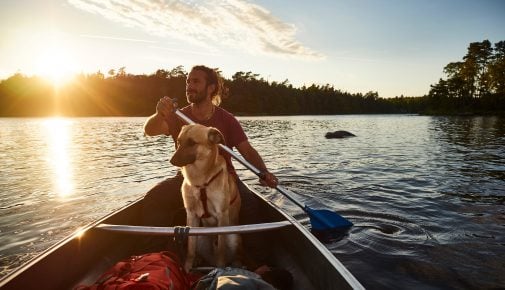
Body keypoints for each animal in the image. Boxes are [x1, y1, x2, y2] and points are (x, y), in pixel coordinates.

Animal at [168, 124, 241, 272]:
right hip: (200, 234)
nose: (171, 161)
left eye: (192, 142)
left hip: (234, 237)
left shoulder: (222, 215)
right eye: (178, 141)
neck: (201, 182)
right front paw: (187, 267)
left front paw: (221, 269)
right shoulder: (191, 215)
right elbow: (190, 248)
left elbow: (221, 250)